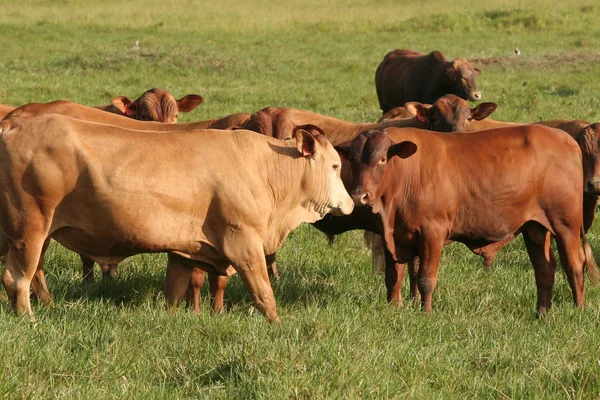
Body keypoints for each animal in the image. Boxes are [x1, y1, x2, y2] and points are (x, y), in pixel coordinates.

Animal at [0, 114, 352, 320]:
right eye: (335, 166)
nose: (350, 203)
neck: (262, 168)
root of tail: (13, 125)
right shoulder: (244, 243)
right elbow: (264, 294)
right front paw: (276, 325)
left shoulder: (183, 251)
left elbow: (175, 289)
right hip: (29, 230)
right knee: (18, 278)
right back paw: (29, 319)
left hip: (34, 234)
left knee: (32, 276)